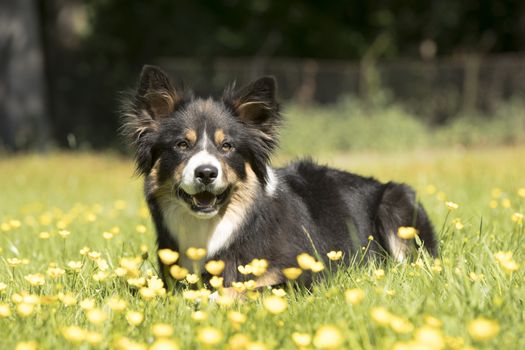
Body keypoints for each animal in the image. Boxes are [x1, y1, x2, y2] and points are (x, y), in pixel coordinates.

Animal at [121, 65, 436, 290]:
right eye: (181, 145)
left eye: (227, 146)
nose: (206, 173)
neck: (215, 225)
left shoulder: (306, 272)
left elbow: (243, 289)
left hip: (395, 201)